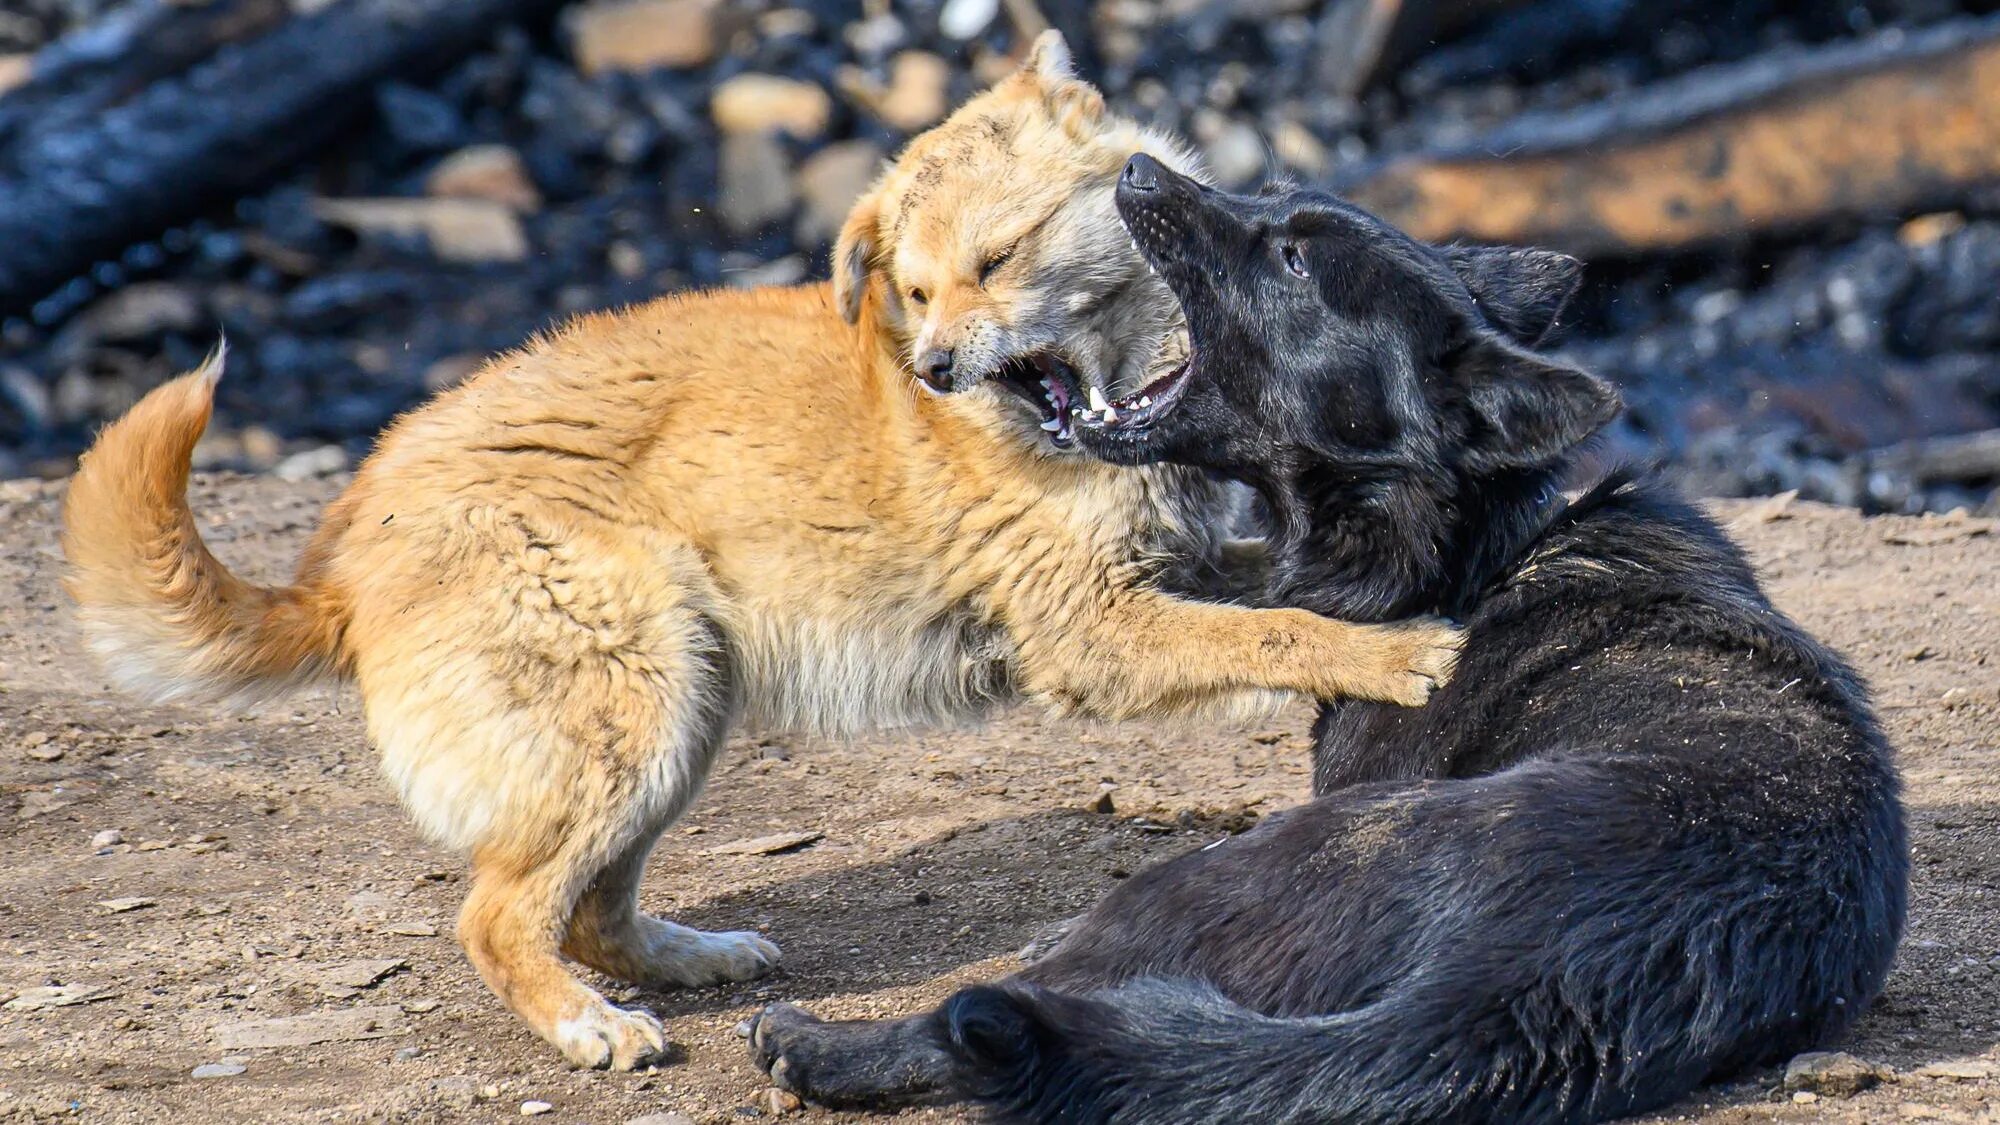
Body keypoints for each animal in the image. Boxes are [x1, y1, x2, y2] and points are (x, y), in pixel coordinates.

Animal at [62, 35, 1456, 1064]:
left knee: (593, 906)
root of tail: (337, 560)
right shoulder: (1095, 632)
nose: (935, 371)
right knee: (497, 916)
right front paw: (1396, 659)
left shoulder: (1175, 577)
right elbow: (1273, 634)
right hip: (629, 706)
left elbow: (1269, 609)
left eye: (998, 259)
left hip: (681, 705)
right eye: (914, 290)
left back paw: (684, 960)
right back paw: (587, 1027)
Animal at [748, 158, 1904, 1120]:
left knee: (1012, 1007)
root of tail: (1558, 974)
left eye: (1295, 260)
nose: (1138, 169)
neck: (1472, 550)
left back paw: (827, 1046)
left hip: (1225, 869)